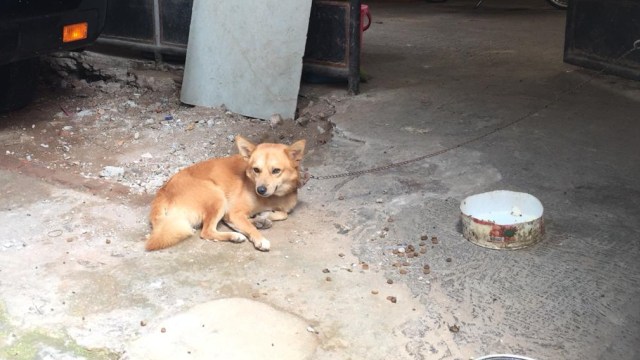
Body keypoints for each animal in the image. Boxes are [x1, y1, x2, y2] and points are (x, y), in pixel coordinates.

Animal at [146, 136, 306, 252]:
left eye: (276, 170)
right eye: (256, 170)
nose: (260, 190)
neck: (271, 199)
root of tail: (163, 191)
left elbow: (283, 214)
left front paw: (263, 216)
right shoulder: (233, 212)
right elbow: (250, 227)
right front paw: (260, 238)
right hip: (217, 196)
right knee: (207, 232)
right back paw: (235, 236)